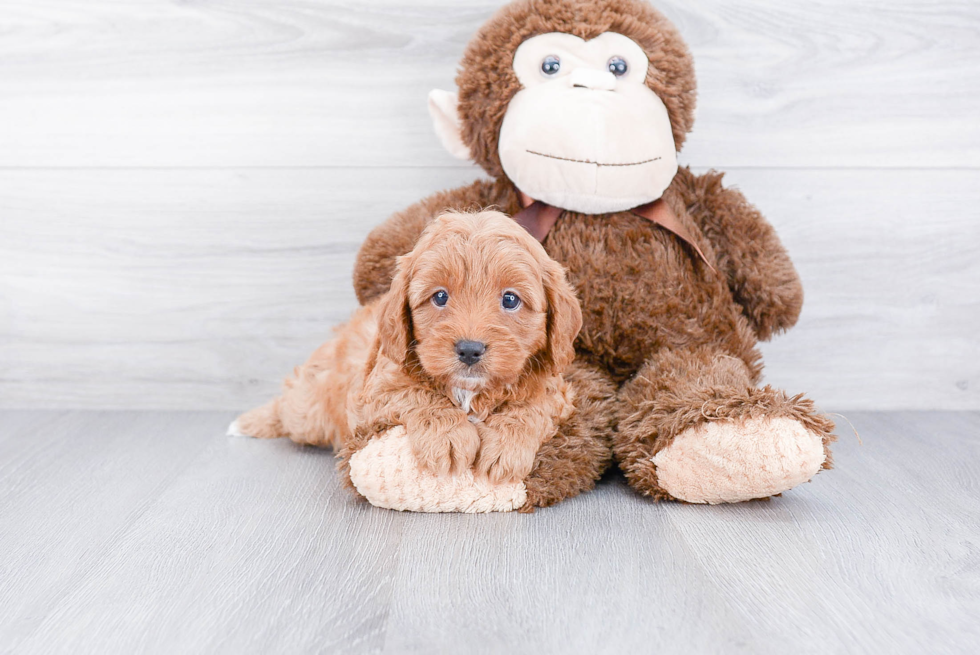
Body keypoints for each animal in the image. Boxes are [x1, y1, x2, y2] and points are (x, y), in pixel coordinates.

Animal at [230, 213, 580, 484]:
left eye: (510, 299)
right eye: (440, 297)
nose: (469, 350)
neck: (469, 391)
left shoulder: (555, 389)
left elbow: (531, 406)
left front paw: (506, 447)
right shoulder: (374, 391)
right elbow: (418, 394)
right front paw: (447, 437)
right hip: (309, 412)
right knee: (290, 404)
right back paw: (255, 419)